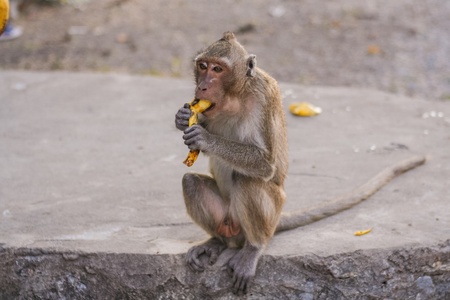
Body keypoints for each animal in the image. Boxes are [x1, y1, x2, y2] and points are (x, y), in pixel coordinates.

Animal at [174, 31, 428, 294]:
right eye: (202, 66)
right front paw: (183, 119)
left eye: (218, 69)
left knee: (246, 180)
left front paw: (205, 138)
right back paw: (217, 241)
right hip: (229, 219)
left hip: (272, 210)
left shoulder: (263, 97)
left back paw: (253, 248)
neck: (235, 96)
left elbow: (265, 164)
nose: (202, 86)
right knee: (191, 182)